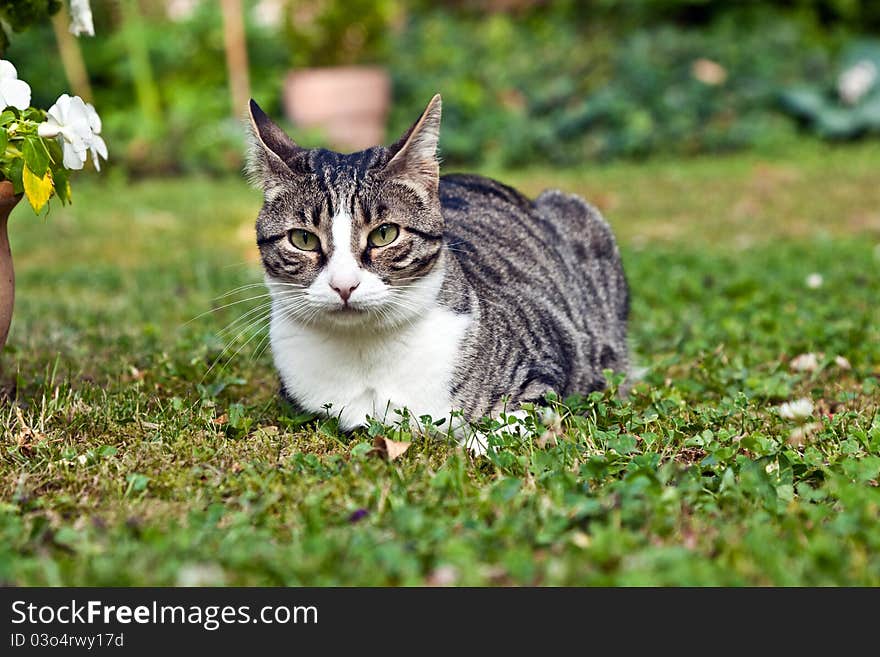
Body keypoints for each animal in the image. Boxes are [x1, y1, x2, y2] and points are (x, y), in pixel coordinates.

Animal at [244, 95, 628, 448]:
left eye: (385, 234)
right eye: (303, 239)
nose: (344, 285)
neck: (364, 354)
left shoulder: (547, 367)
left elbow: (515, 420)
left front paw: (477, 443)